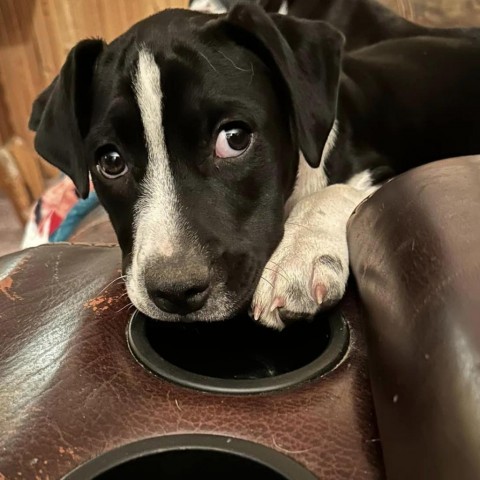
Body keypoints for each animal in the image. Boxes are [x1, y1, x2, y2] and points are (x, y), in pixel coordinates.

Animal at [29, 0, 480, 328]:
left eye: (235, 139)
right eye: (110, 161)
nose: (175, 292)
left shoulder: (384, 169)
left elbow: (337, 190)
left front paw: (300, 254)